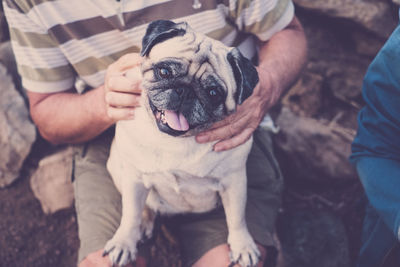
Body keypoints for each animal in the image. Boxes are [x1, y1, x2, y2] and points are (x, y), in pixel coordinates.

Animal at [104, 20, 260, 267]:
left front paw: (242, 245)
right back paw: (144, 224)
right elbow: (130, 214)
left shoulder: (234, 181)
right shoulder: (134, 178)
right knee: (143, 207)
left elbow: (237, 217)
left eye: (213, 93)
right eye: (164, 71)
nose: (185, 90)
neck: (175, 141)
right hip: (117, 168)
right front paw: (124, 241)